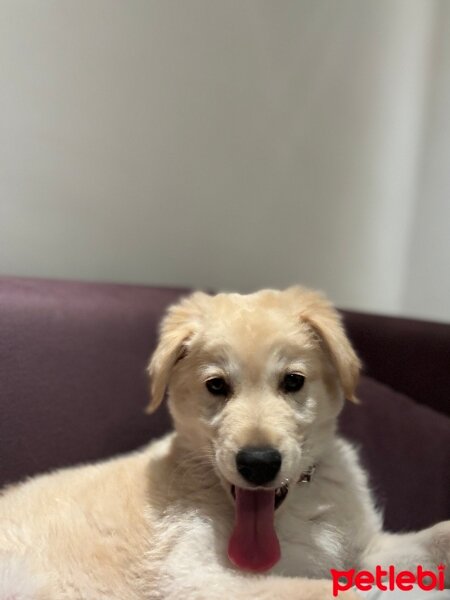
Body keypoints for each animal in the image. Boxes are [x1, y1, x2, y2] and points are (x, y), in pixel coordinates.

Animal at [0, 288, 448, 596]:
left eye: (293, 381)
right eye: (216, 386)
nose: (259, 463)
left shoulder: (364, 549)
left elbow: (430, 540)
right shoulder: (198, 576)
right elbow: (337, 592)